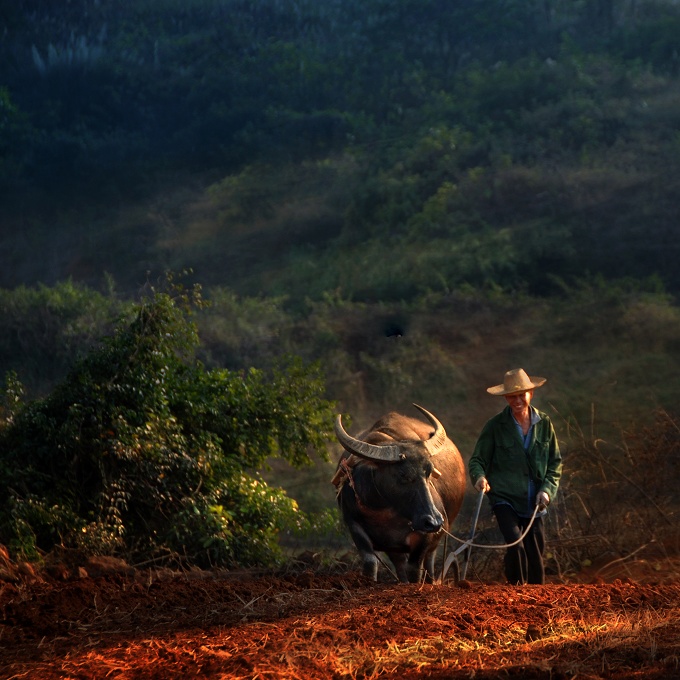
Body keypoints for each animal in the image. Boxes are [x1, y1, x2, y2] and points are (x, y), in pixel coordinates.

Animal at [334, 404, 468, 584]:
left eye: (429, 471)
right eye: (403, 475)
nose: (433, 521)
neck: (384, 509)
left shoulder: (425, 537)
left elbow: (415, 568)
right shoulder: (353, 524)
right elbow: (370, 562)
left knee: (429, 561)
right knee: (399, 565)